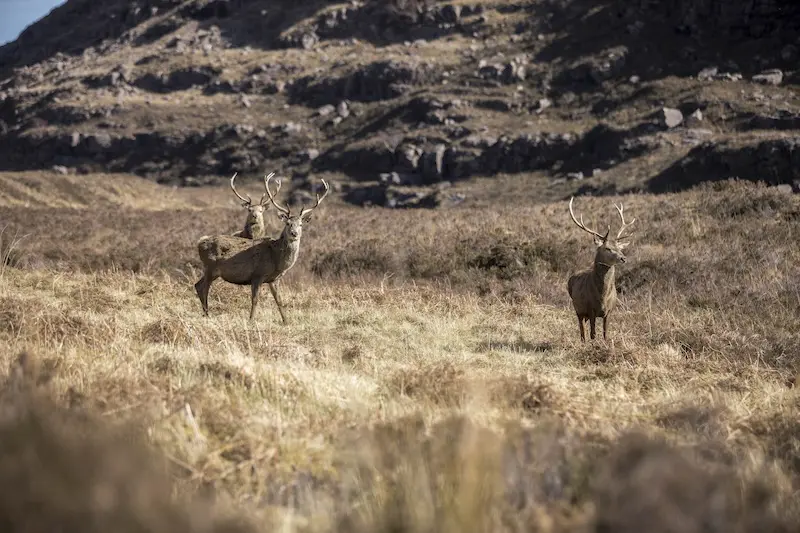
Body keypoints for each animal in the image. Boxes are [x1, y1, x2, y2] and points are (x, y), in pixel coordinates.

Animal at [194, 172, 330, 324]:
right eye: (288, 223)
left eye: (300, 224)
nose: (294, 233)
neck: (276, 260)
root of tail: (200, 241)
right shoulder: (257, 274)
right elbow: (255, 300)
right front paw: (251, 320)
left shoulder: (274, 279)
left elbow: (279, 301)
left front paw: (286, 321)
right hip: (210, 267)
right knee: (203, 287)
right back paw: (207, 314)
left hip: (211, 270)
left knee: (198, 285)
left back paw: (206, 313)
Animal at [566, 196, 636, 342]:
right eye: (607, 248)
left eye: (619, 247)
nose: (623, 258)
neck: (602, 297)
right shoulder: (590, 309)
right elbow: (593, 334)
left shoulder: (609, 311)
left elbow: (605, 334)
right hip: (578, 309)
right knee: (582, 330)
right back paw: (583, 342)